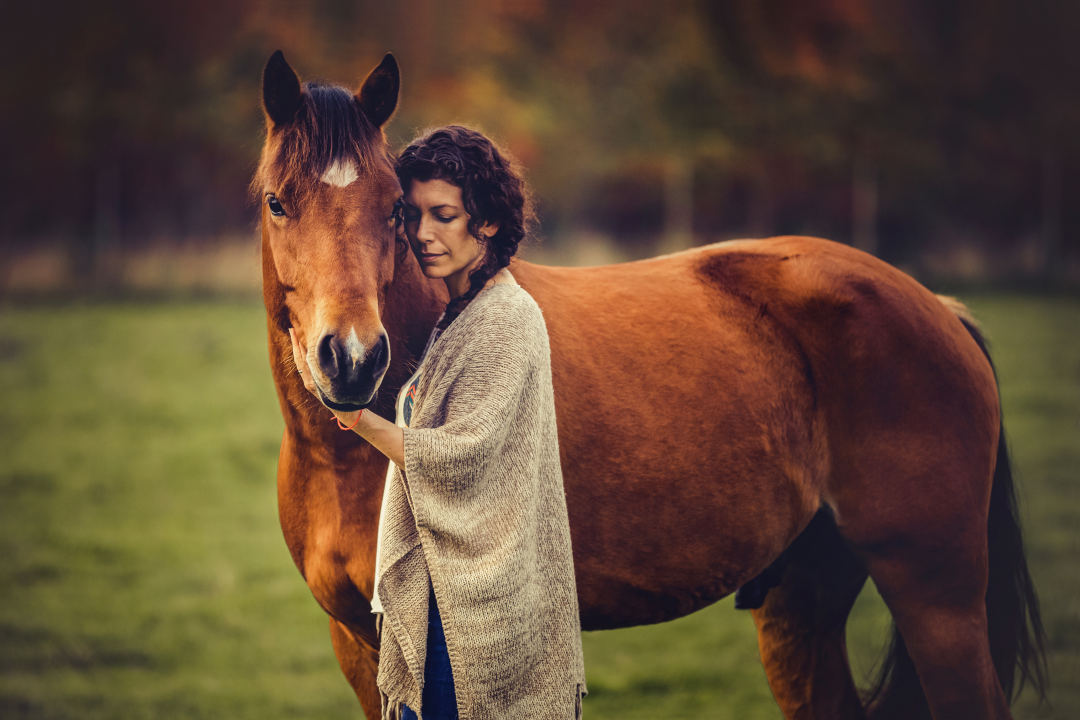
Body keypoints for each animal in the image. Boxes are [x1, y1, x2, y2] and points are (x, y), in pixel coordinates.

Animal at [253, 51, 1046, 719]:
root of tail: (932, 304)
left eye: (396, 207)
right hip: (802, 602)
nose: (352, 359)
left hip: (938, 600)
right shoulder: (363, 647)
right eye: (277, 202)